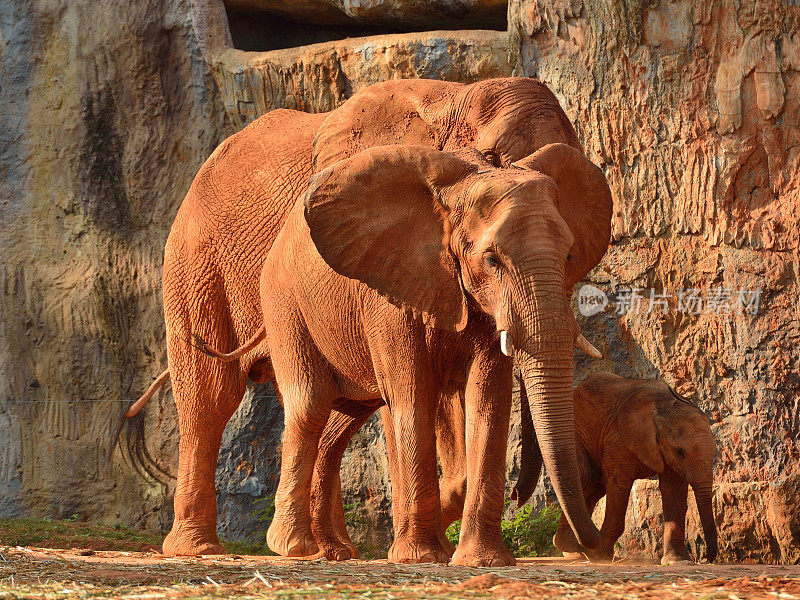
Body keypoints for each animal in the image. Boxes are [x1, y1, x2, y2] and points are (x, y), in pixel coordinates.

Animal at [128, 76, 608, 564]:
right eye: (491, 259)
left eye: (571, 253)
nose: (590, 547)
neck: (458, 99)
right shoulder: (389, 275)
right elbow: (413, 394)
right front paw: (419, 553)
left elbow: (484, 397)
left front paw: (472, 556)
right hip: (198, 264)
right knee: (214, 397)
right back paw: (203, 548)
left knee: (336, 412)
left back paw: (332, 550)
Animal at [520, 372, 720, 564]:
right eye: (680, 452)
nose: (708, 558)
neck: (666, 404)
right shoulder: (619, 438)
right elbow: (619, 485)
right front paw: (601, 555)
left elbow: (674, 490)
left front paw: (676, 560)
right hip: (576, 433)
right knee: (585, 479)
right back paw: (575, 549)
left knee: (594, 487)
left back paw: (575, 550)